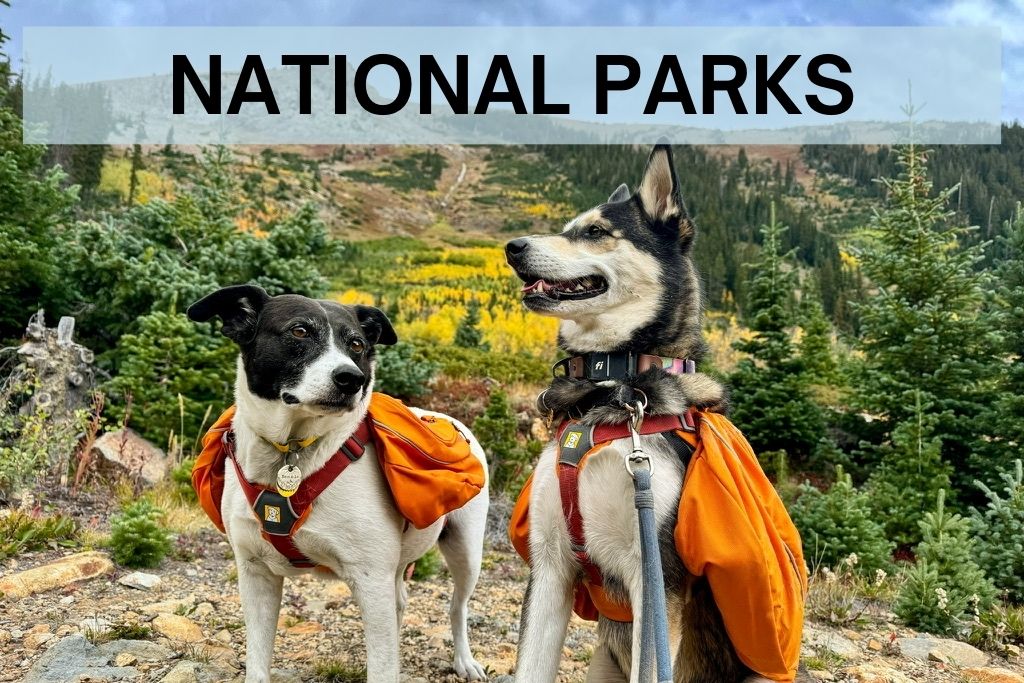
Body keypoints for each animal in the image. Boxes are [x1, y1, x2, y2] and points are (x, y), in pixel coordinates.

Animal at [189, 288, 491, 683]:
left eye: (357, 344)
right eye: (300, 331)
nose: (352, 379)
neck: (293, 453)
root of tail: (443, 416)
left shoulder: (370, 578)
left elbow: (382, 668)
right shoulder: (255, 574)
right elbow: (257, 660)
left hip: (465, 551)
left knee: (457, 607)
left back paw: (465, 661)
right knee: (401, 602)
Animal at [503, 145, 770, 683]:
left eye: (596, 231)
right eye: (568, 227)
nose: (513, 246)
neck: (613, 385)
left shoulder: (654, 578)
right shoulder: (549, 567)